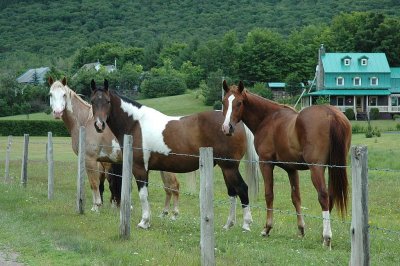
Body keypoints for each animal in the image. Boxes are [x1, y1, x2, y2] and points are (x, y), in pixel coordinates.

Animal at [47, 77, 180, 218]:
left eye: (64, 94)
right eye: (50, 94)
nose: (57, 113)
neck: (85, 122)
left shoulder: (90, 160)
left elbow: (94, 184)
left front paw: (96, 207)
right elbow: (96, 184)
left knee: (173, 186)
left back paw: (174, 214)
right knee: (168, 188)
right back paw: (164, 213)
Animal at [89, 78, 260, 230]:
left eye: (107, 101)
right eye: (92, 101)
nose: (99, 125)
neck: (136, 123)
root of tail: (232, 124)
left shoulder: (139, 168)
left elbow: (143, 195)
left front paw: (144, 222)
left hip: (229, 166)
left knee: (242, 189)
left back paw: (246, 224)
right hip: (225, 167)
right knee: (232, 192)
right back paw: (228, 224)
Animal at [220, 80, 352, 247]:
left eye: (239, 102)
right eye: (224, 102)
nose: (227, 127)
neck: (268, 118)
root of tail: (331, 114)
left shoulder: (266, 163)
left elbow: (269, 194)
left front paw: (267, 228)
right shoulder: (291, 169)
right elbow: (296, 197)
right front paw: (301, 230)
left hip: (317, 169)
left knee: (323, 196)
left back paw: (327, 237)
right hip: (334, 167)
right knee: (331, 196)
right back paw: (323, 235)